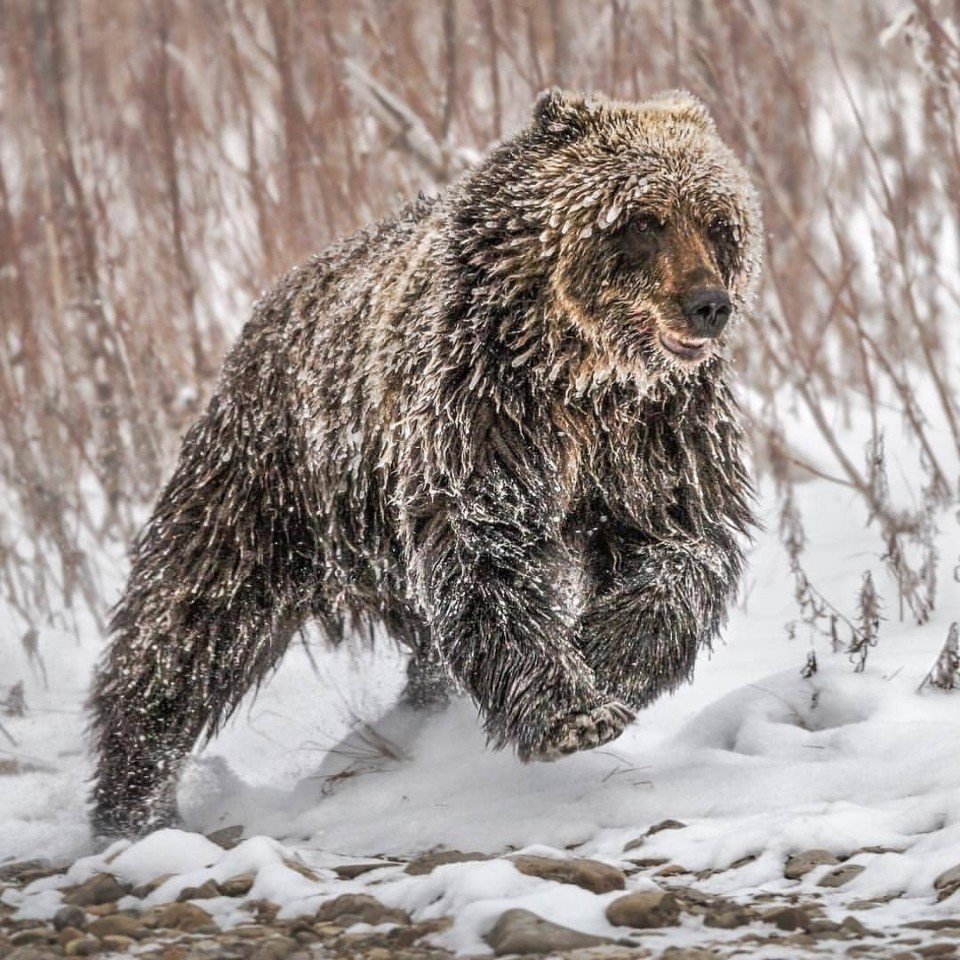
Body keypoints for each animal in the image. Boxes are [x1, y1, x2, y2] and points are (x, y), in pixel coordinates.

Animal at [92, 92, 764, 840]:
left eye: (718, 223)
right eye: (642, 220)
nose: (708, 304)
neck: (580, 373)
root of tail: (269, 306)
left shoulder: (654, 440)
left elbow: (681, 550)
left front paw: (606, 658)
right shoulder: (485, 420)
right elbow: (488, 560)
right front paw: (570, 712)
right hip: (269, 482)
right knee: (188, 621)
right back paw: (134, 800)